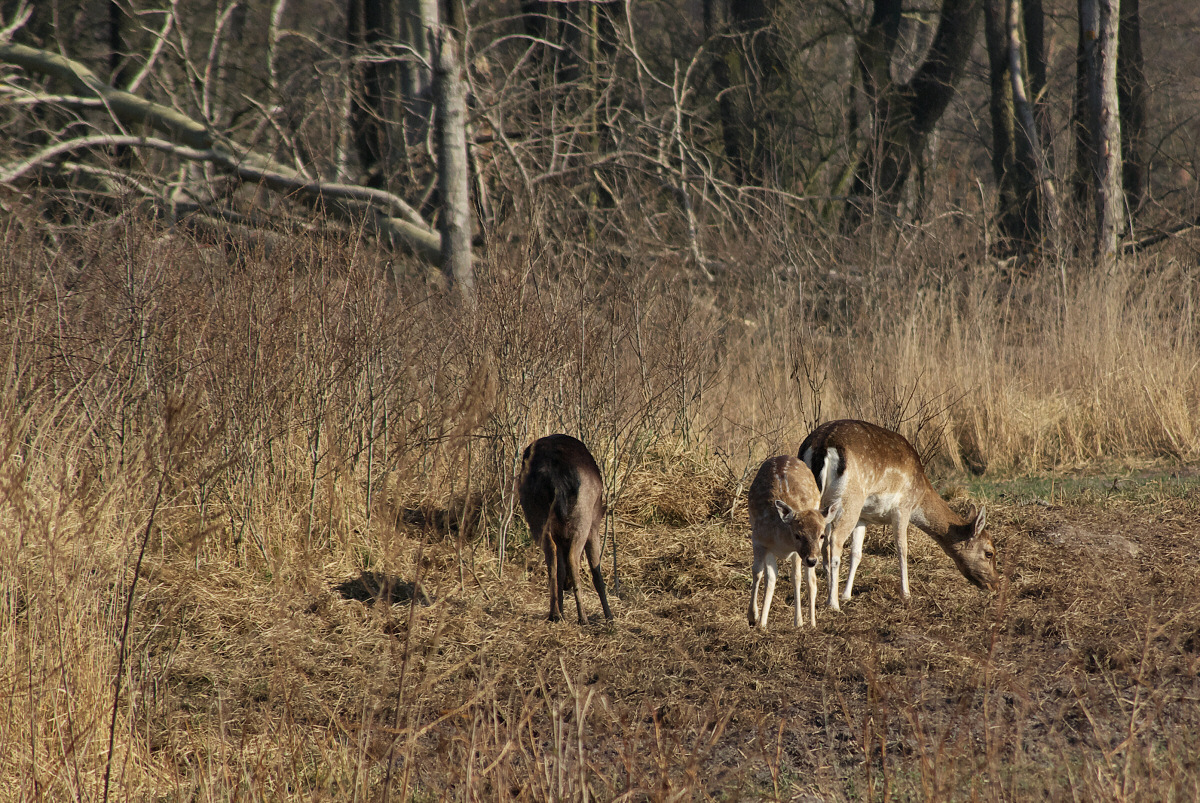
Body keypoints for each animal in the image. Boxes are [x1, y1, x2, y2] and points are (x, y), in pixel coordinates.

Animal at [516, 434, 614, 624]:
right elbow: (596, 570)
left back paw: (555, 614)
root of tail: (554, 474)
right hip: (582, 517)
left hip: (536, 514)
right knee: (572, 558)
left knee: (552, 560)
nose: (567, 585)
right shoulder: (594, 525)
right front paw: (609, 617)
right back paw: (583, 618)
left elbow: (561, 568)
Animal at [748, 453, 844, 628]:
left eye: (822, 535)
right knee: (776, 577)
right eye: (797, 535)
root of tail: (784, 455)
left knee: (810, 580)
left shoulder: (796, 553)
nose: (812, 560)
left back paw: (812, 623)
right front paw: (755, 618)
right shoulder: (759, 539)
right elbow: (760, 573)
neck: (783, 544)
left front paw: (798, 622)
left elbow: (796, 578)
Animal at [796, 420, 993, 607]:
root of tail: (821, 445)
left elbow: (856, 553)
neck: (919, 496)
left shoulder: (863, 517)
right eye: (990, 552)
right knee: (834, 542)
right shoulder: (902, 508)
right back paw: (832, 603)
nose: (994, 584)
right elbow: (902, 548)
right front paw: (906, 594)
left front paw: (846, 595)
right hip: (849, 499)